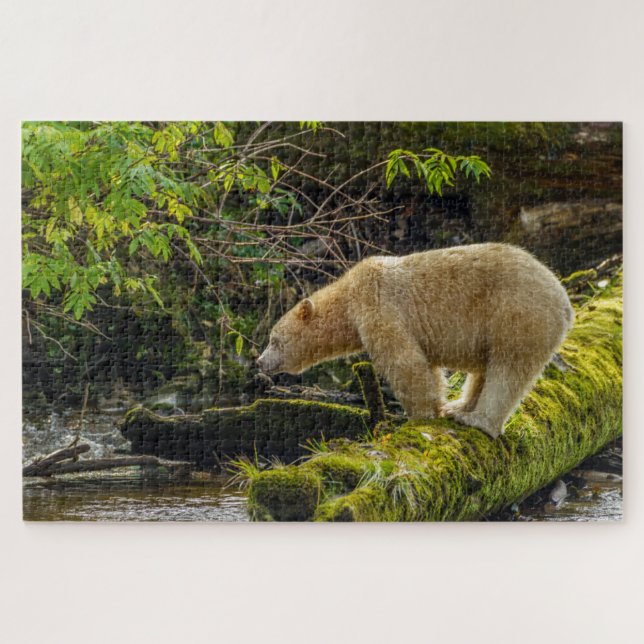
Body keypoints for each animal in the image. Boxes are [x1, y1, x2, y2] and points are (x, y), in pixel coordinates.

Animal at [256, 243, 575, 438]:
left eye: (274, 340)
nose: (259, 361)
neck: (348, 297)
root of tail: (565, 302)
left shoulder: (378, 305)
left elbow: (405, 362)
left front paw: (419, 417)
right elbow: (427, 366)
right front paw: (438, 407)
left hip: (519, 315)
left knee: (508, 369)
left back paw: (478, 420)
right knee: (486, 368)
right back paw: (459, 407)